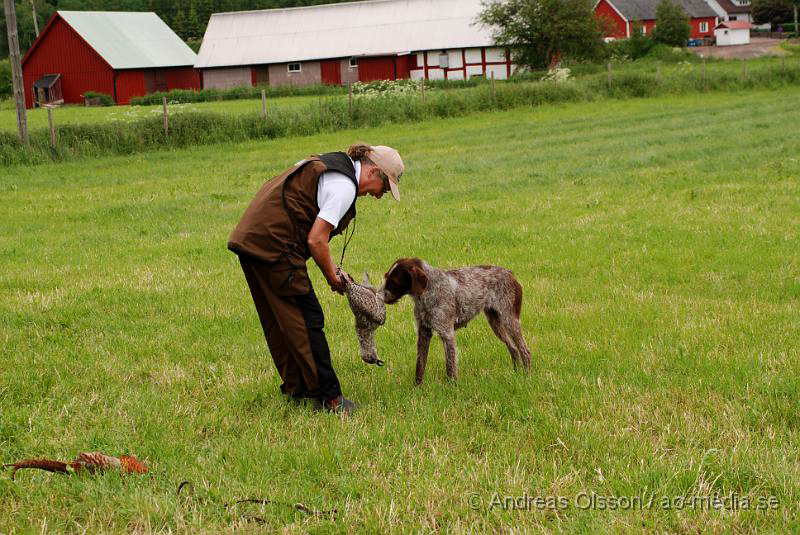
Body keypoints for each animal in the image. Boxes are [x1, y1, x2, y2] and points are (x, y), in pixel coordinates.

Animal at [382, 258, 532, 386]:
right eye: (386, 277)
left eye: (394, 282)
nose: (380, 296)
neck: (428, 292)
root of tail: (510, 273)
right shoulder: (424, 333)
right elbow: (420, 364)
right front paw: (417, 387)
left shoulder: (447, 333)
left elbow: (450, 364)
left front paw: (452, 386)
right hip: (495, 322)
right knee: (513, 348)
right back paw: (515, 373)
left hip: (510, 320)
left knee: (524, 350)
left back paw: (526, 375)